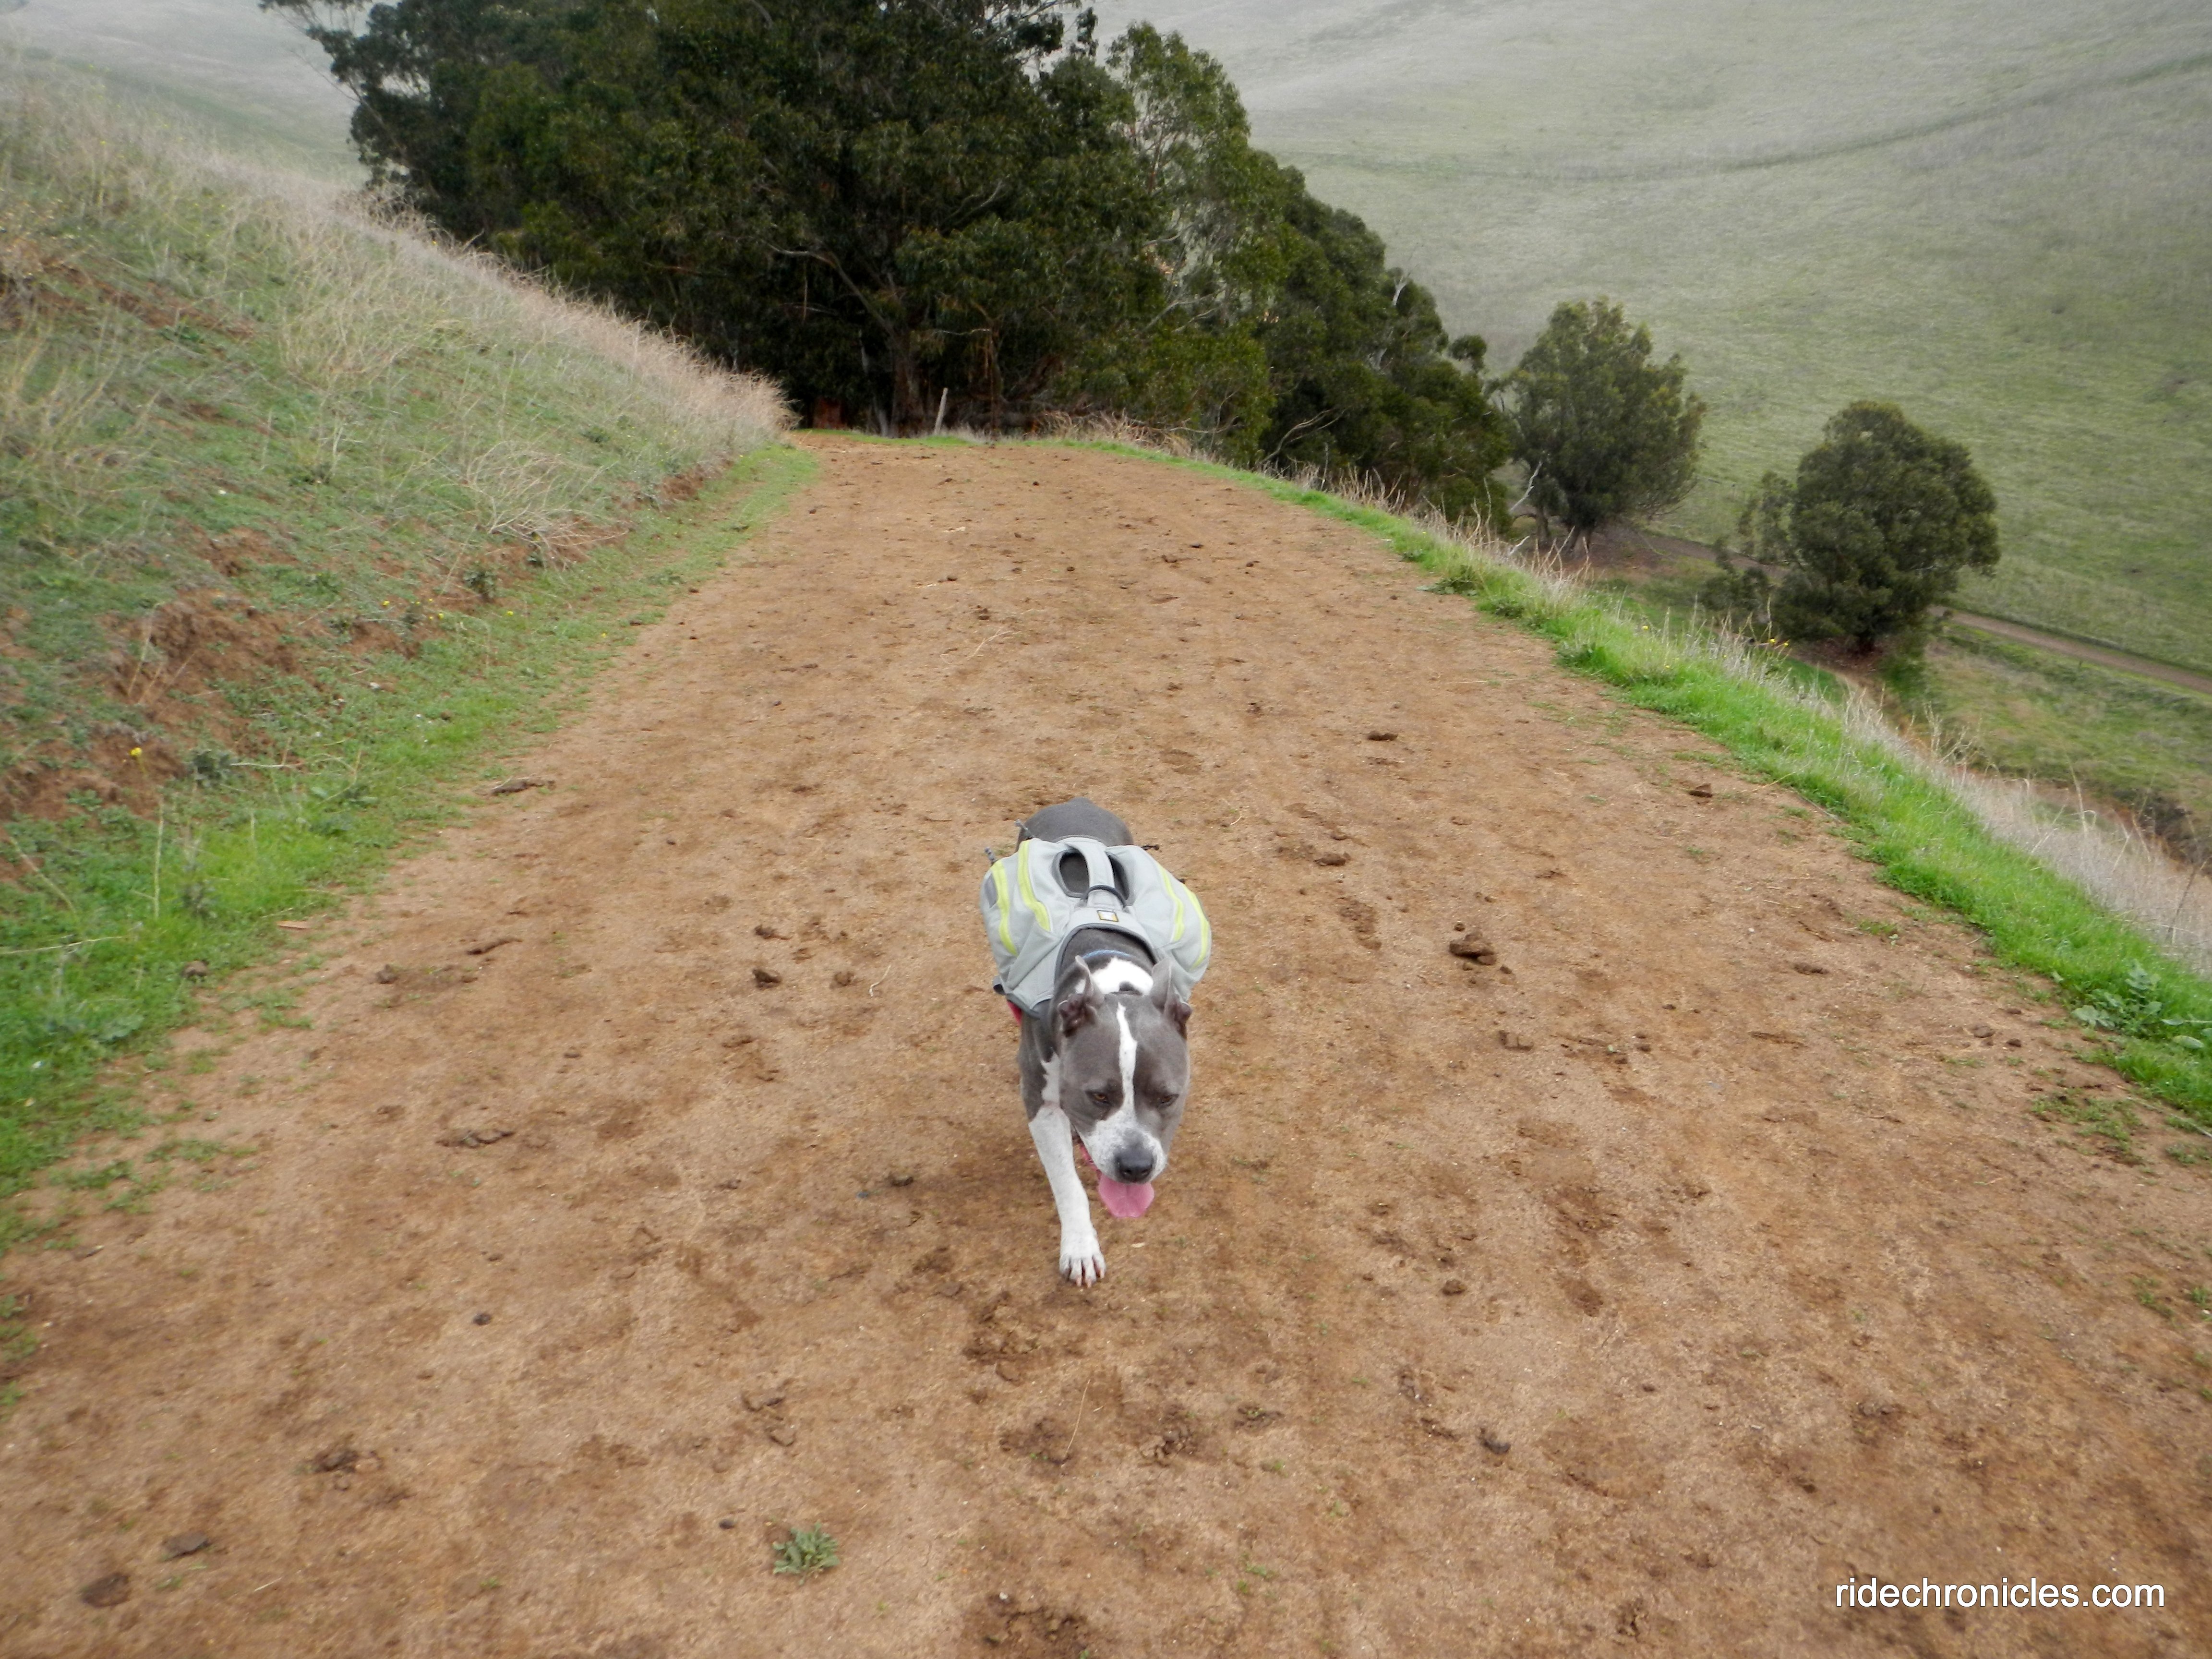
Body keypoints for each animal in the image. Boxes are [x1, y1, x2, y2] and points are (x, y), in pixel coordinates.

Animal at [983, 799, 1206, 1285]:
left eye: (1168, 1098)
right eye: (1098, 1095)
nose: (1136, 1167)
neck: (1114, 983)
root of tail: (1075, 803)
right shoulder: (1040, 1099)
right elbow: (1067, 1184)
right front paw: (1081, 1248)